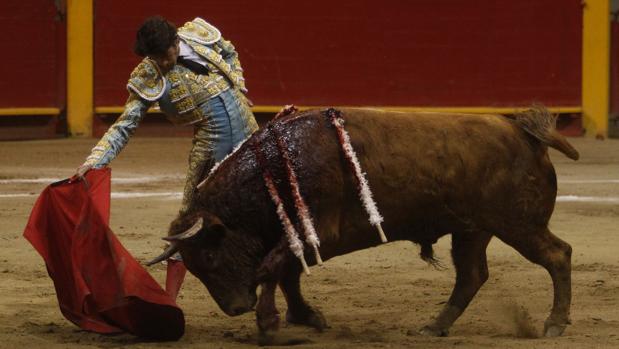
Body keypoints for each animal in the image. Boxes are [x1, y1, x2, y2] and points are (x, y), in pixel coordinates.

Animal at [150, 106, 580, 340]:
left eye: (210, 254)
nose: (236, 308)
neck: (275, 165)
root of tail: (525, 133)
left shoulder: (318, 230)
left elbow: (271, 268)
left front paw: (270, 323)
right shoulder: (303, 236)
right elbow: (286, 273)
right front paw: (303, 317)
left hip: (517, 224)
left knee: (558, 255)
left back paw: (554, 324)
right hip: (472, 230)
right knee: (472, 275)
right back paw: (434, 326)